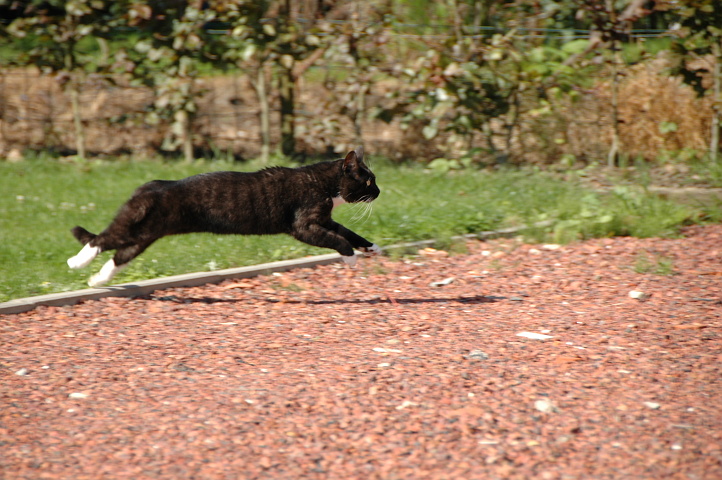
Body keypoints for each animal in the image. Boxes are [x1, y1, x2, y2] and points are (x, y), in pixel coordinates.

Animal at [68, 146, 380, 286]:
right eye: (368, 181)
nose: (378, 191)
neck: (323, 183)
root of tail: (153, 185)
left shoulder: (325, 220)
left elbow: (347, 231)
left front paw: (371, 246)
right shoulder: (304, 225)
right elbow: (338, 239)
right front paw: (350, 257)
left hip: (146, 235)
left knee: (120, 255)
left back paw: (97, 280)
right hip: (138, 226)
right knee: (102, 239)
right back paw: (77, 262)